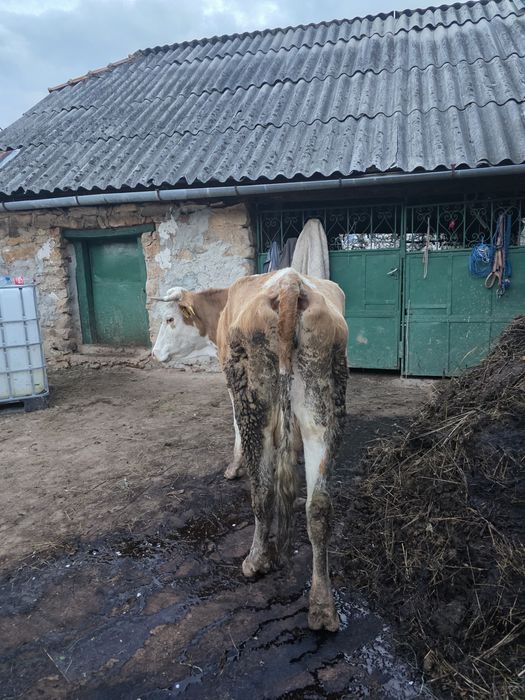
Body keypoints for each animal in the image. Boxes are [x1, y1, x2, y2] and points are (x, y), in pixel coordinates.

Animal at [152, 268, 348, 631]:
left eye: (169, 319)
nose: (154, 354)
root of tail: (289, 282)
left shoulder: (230, 380)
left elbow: (233, 426)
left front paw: (235, 466)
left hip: (255, 397)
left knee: (263, 490)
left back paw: (257, 560)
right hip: (323, 400)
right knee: (318, 507)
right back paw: (322, 605)